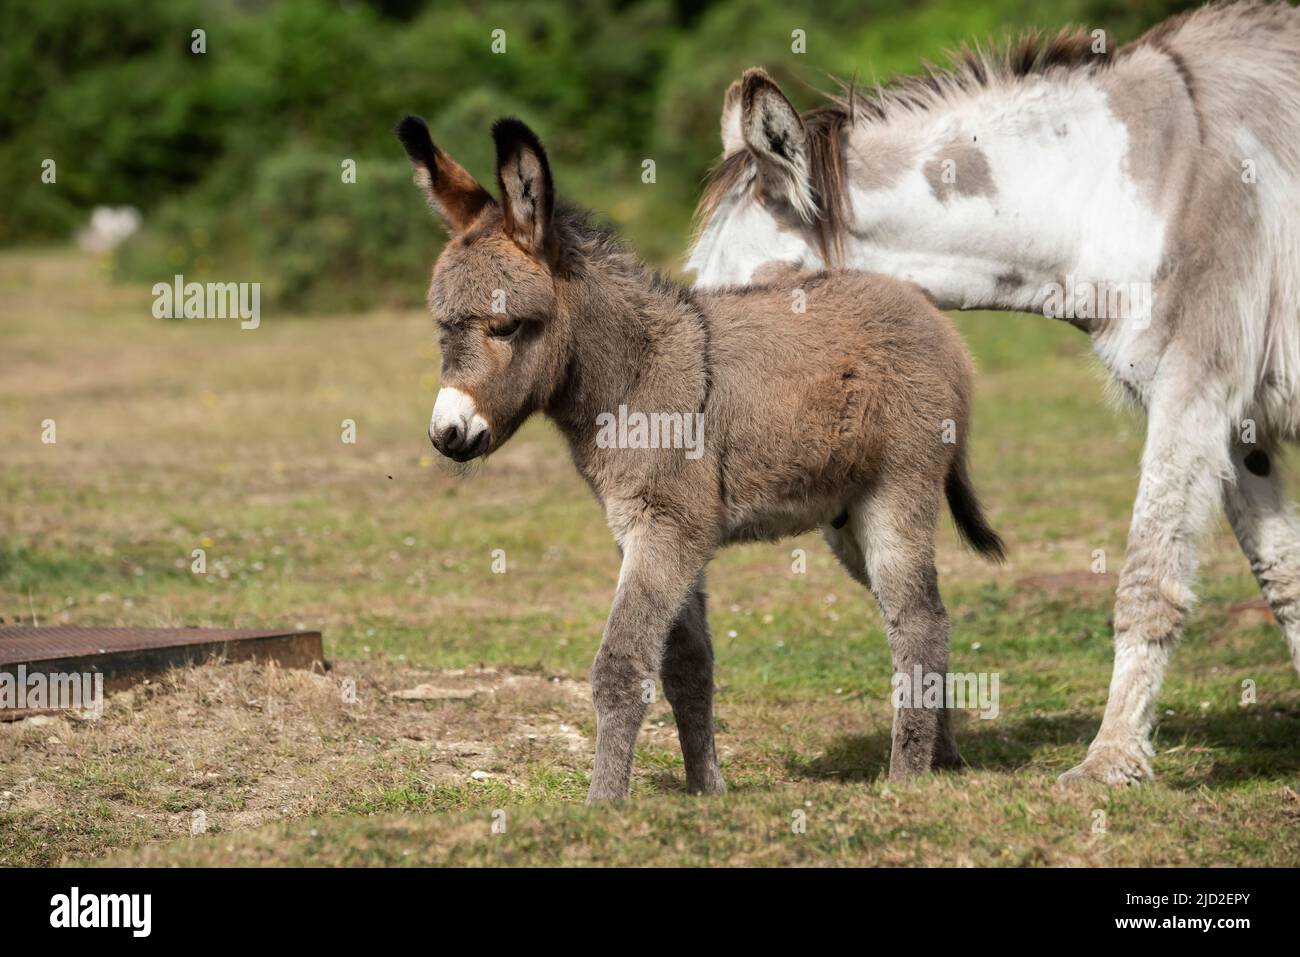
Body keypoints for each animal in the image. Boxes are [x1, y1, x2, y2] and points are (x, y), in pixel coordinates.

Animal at [395, 113, 1003, 800]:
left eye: (505, 328)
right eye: (442, 329)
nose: (447, 435)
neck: (635, 375)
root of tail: (932, 317)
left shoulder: (667, 528)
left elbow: (622, 665)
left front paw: (601, 805)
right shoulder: (644, 531)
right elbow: (687, 665)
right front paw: (705, 790)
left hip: (897, 489)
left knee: (917, 625)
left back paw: (905, 780)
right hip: (847, 521)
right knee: (930, 616)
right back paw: (942, 760)